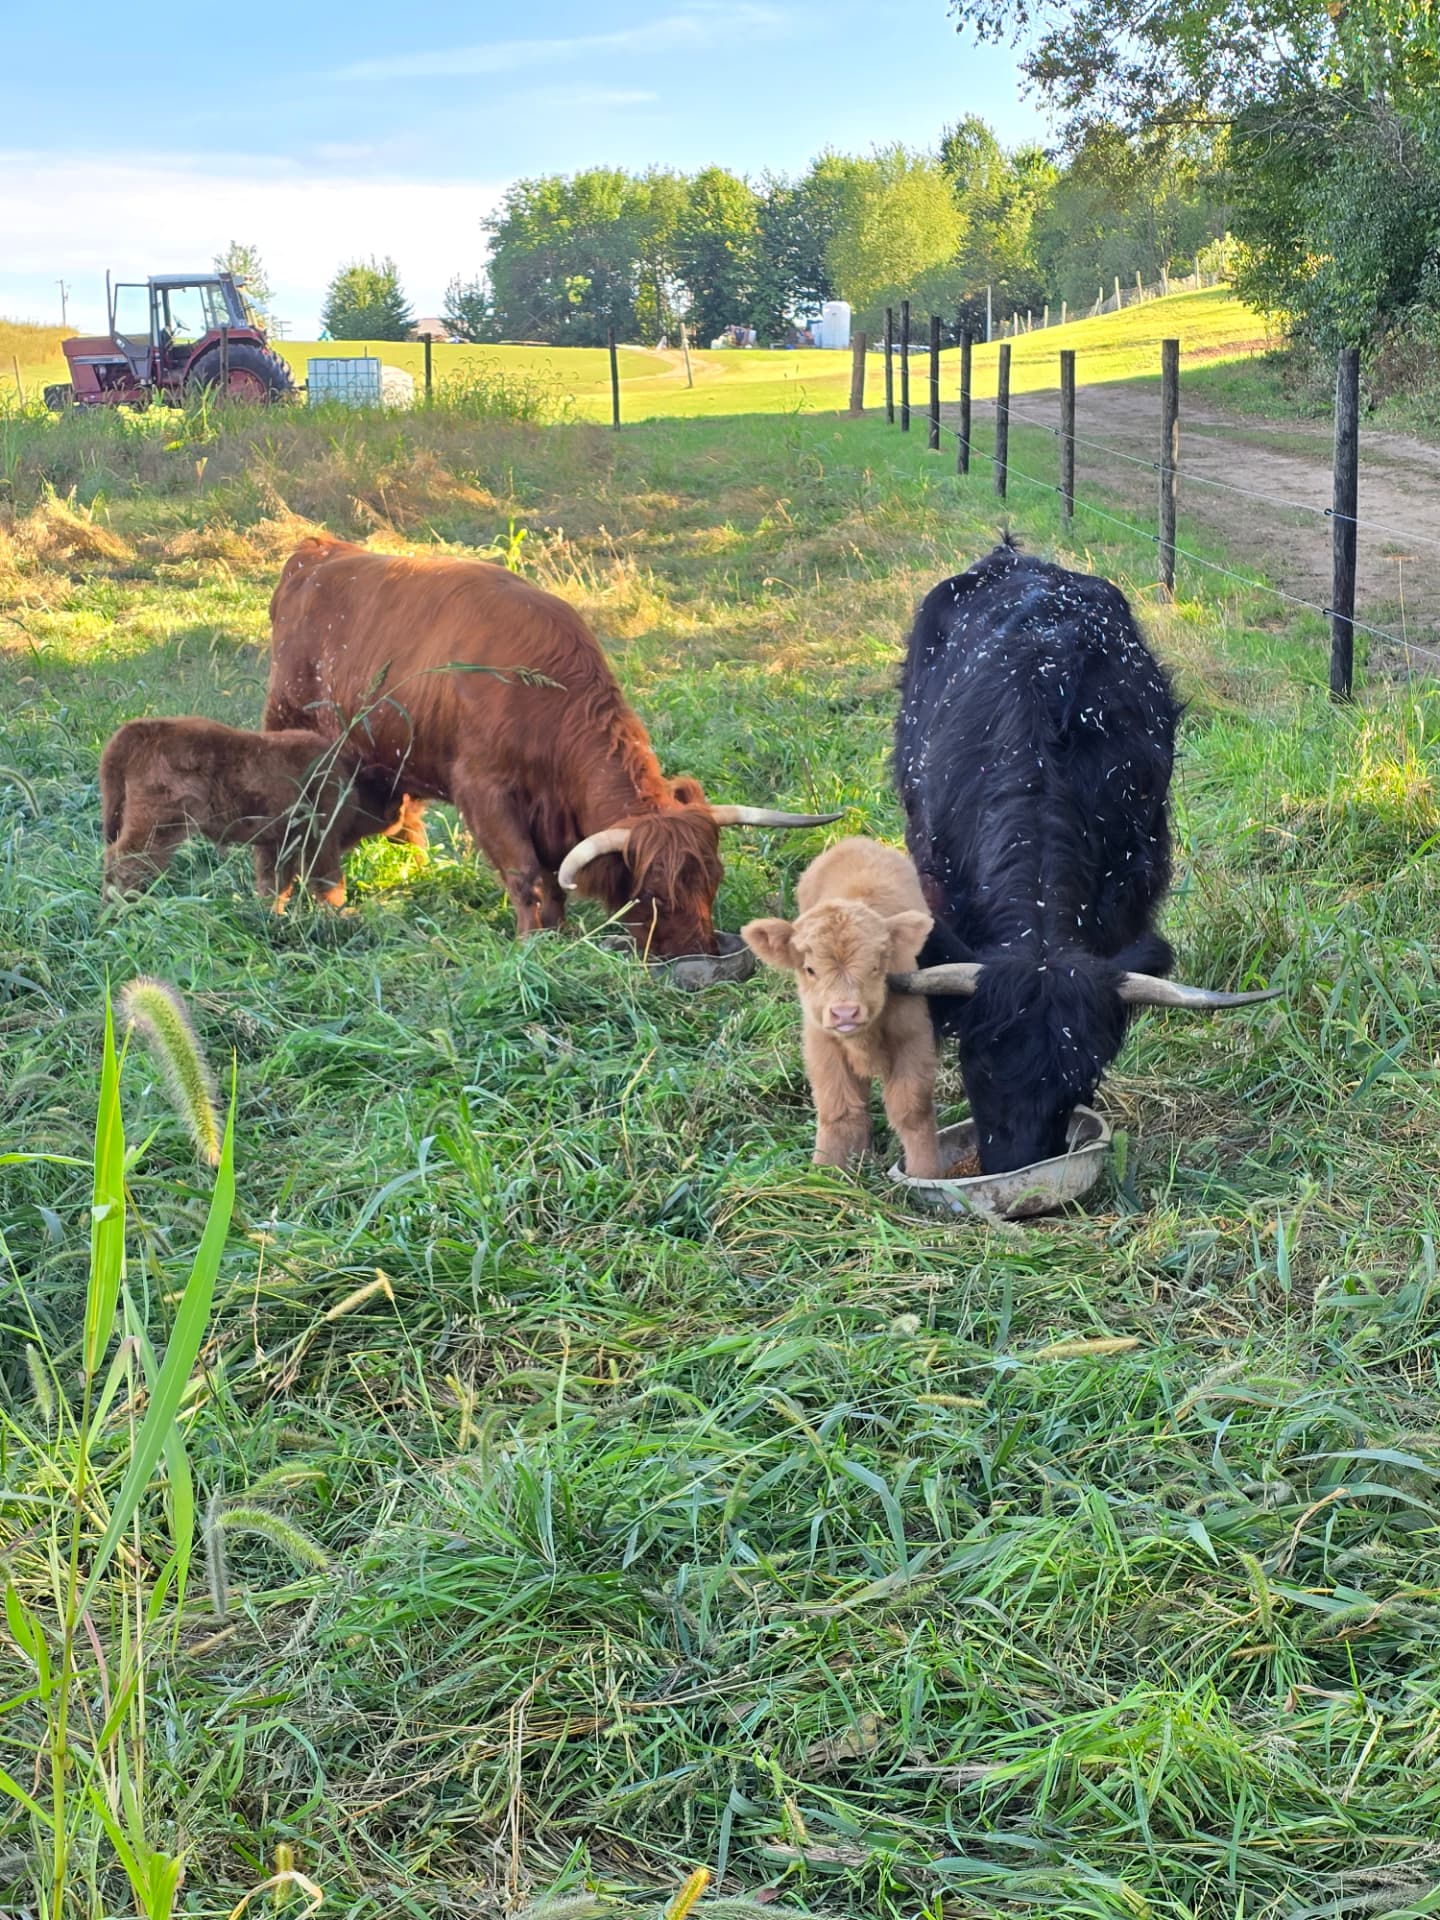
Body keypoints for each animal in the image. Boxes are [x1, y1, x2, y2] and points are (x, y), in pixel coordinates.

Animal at [100, 716, 404, 909]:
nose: (401, 811)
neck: (350, 779)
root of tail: (139, 730)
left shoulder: (278, 845)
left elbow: (274, 884)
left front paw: (271, 914)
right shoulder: (319, 842)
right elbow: (328, 882)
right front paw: (343, 915)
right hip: (159, 825)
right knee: (126, 860)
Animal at [263, 538, 836, 956]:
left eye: (713, 878)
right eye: (652, 891)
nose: (696, 954)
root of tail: (314, 551)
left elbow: (554, 881)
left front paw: (559, 936)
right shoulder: (484, 792)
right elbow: (529, 875)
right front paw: (534, 943)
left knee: (401, 828)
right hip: (291, 731)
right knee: (295, 830)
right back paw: (302, 905)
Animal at [741, 837, 942, 1177]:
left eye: (875, 967)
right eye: (810, 969)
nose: (845, 1012)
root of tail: (853, 841)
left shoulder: (913, 1037)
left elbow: (910, 1109)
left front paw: (925, 1174)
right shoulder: (821, 1044)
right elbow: (838, 1111)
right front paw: (825, 1175)